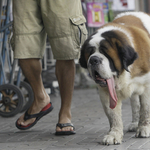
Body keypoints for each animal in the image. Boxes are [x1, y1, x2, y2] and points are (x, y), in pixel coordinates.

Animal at [79, 12, 150, 145]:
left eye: (106, 53)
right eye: (90, 53)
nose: (93, 59)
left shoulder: (147, 86)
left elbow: (146, 109)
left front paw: (144, 128)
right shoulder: (106, 92)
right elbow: (113, 115)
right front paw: (114, 134)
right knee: (135, 104)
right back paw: (134, 124)